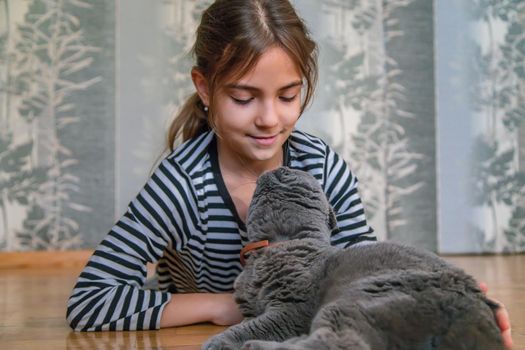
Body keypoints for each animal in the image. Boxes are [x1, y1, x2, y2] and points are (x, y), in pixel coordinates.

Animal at [202, 167, 504, 350]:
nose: (281, 166)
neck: (279, 241)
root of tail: (474, 308)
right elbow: (247, 321)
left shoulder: (291, 309)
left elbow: (251, 327)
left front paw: (218, 341)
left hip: (356, 300)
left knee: (337, 342)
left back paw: (254, 346)